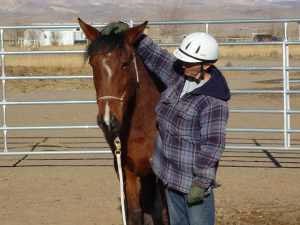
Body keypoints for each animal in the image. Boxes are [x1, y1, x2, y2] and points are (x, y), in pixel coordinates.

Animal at [78, 18, 166, 225]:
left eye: (125, 64)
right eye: (93, 64)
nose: (108, 120)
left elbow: (164, 214)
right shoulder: (126, 170)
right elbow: (135, 213)